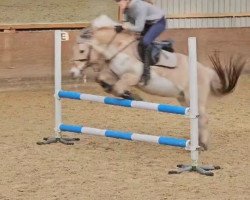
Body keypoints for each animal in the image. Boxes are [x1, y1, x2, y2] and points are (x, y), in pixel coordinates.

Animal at [71, 15, 246, 150]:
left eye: (82, 51)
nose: (72, 73)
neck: (119, 47)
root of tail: (207, 71)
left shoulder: (132, 76)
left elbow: (118, 87)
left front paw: (132, 96)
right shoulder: (113, 73)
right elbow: (103, 80)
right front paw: (127, 94)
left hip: (194, 97)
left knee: (203, 118)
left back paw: (202, 144)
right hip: (183, 99)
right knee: (197, 117)